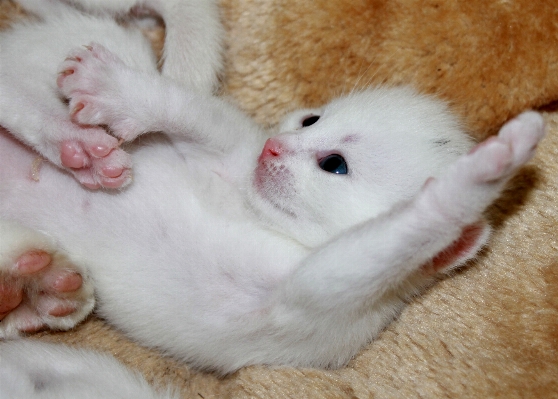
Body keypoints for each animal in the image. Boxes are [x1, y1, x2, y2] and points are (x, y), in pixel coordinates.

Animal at [0, 0, 548, 390]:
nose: (273, 147)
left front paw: (493, 165)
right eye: (311, 120)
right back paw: (65, 139)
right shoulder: (230, 145)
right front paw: (124, 93)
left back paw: (33, 285)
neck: (259, 216)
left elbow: (396, 236)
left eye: (335, 164)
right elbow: (192, 109)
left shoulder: (320, 301)